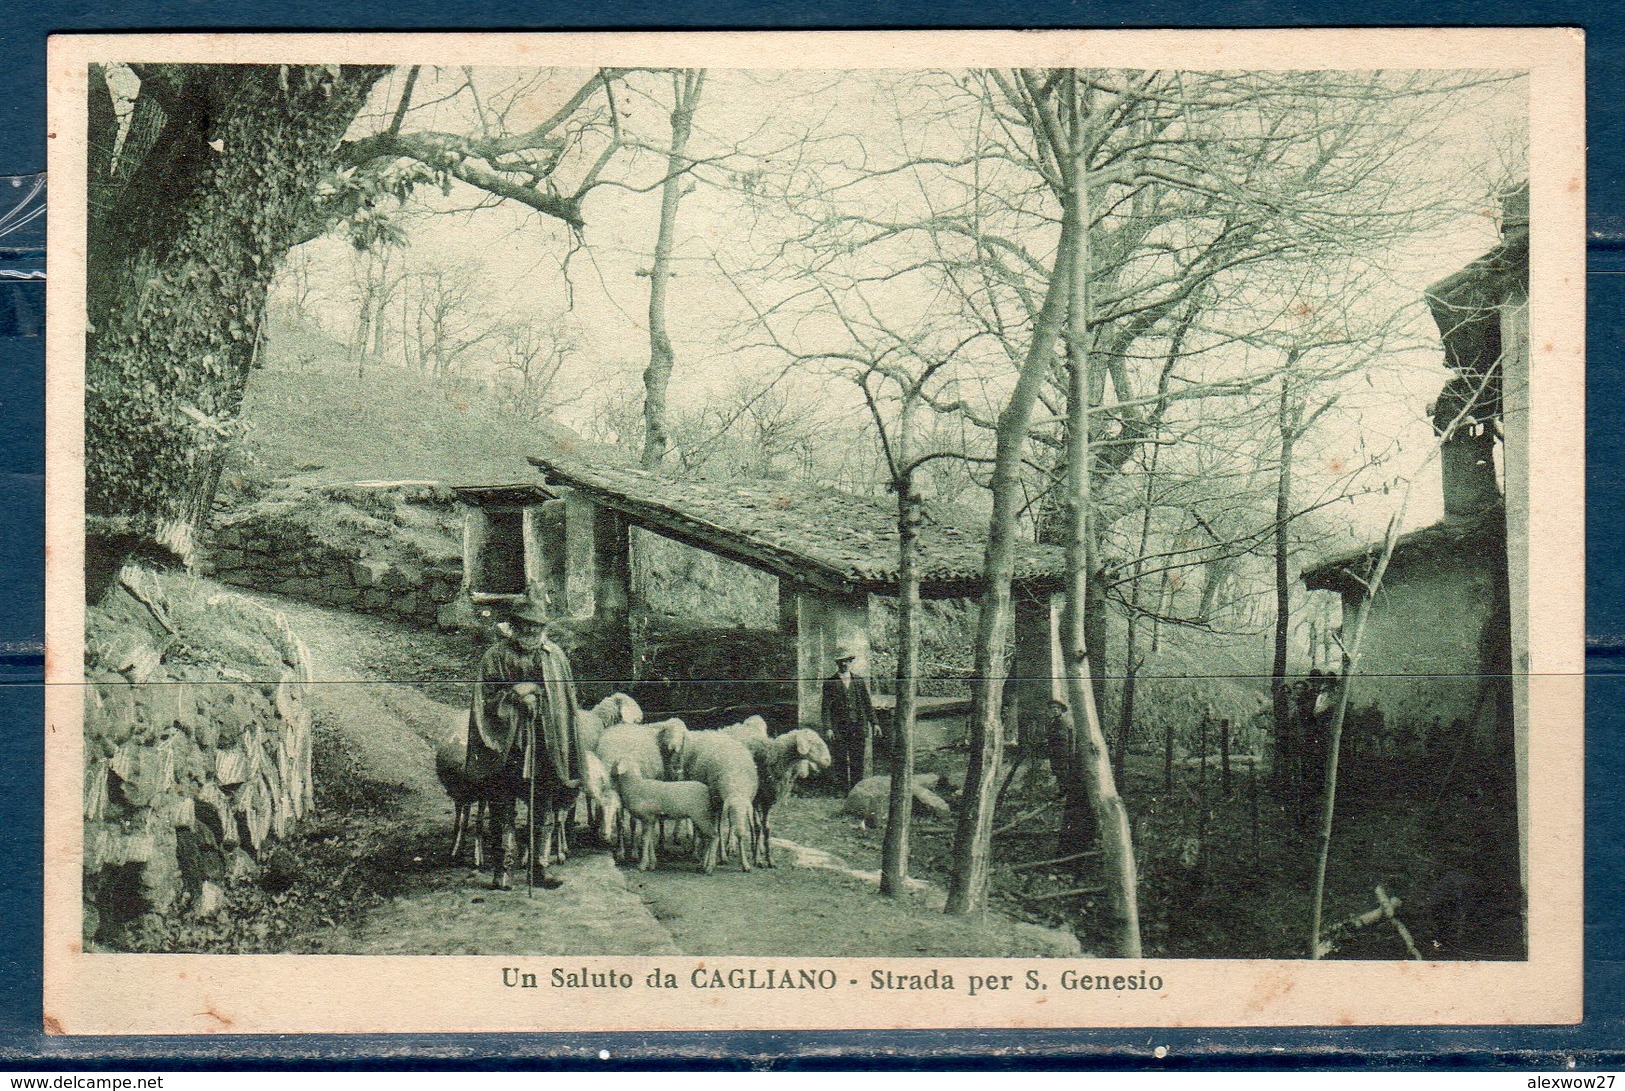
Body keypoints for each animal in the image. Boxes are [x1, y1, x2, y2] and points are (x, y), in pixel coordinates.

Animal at [656, 721, 757, 878]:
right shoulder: (717, 804)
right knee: (700, 827)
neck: (736, 784)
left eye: (746, 813)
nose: (740, 831)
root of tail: (708, 731)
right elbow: (718, 831)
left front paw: (744, 863)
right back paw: (697, 851)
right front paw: (713, 859)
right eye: (731, 813)